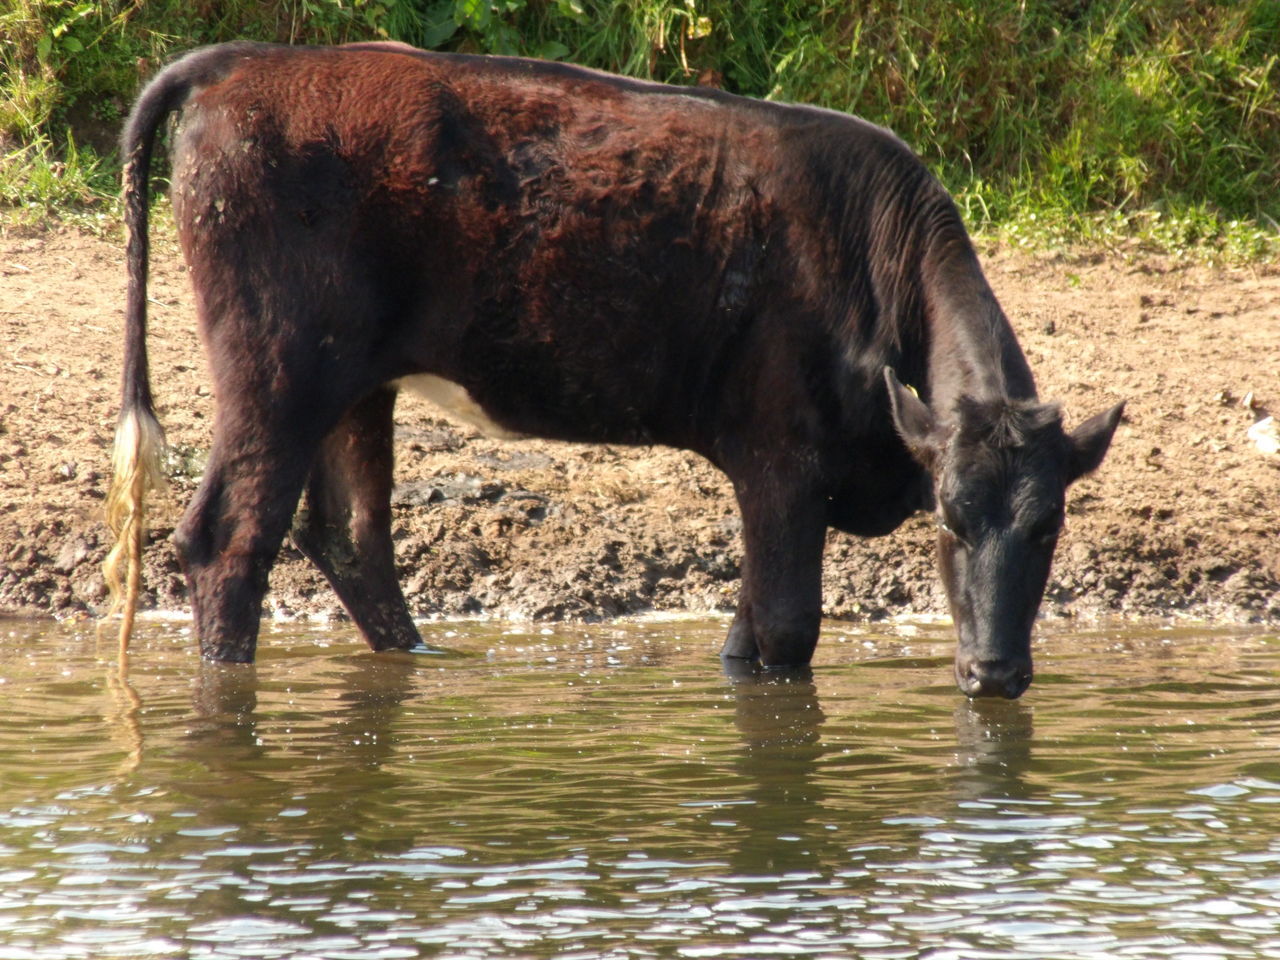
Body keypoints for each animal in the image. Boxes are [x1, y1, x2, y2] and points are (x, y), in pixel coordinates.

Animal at [104, 41, 1121, 701]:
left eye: (1049, 527)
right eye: (950, 518)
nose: (995, 675)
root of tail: (243, 63)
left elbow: (746, 630)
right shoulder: (782, 460)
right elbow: (786, 626)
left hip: (353, 383)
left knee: (351, 537)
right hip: (274, 369)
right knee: (230, 539)